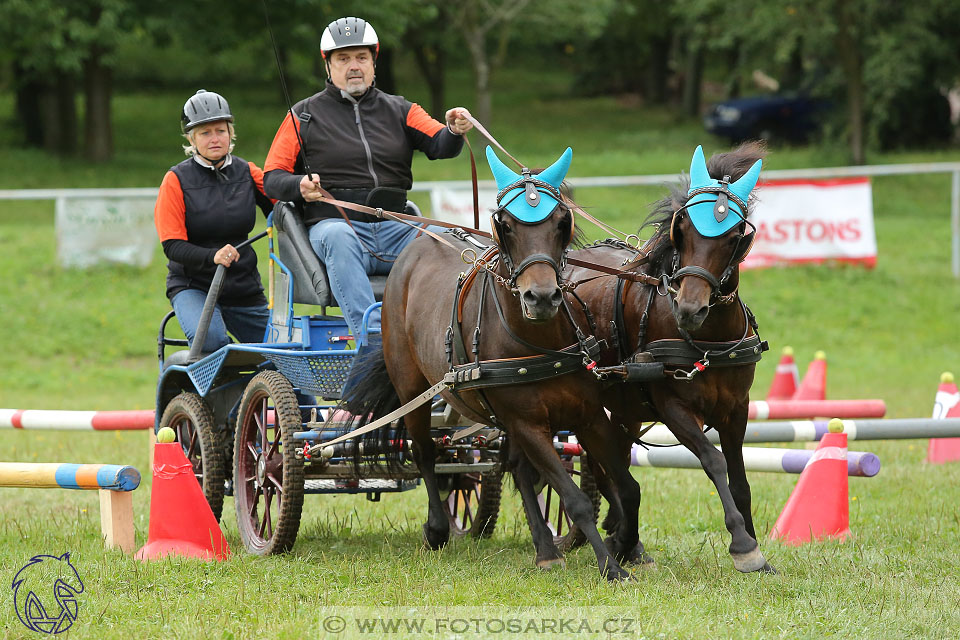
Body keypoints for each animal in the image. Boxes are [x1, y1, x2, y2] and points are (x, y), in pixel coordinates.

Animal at [342, 148, 640, 584]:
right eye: (506, 225)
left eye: (561, 222)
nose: (541, 297)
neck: (539, 340)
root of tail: (416, 246)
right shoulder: (527, 423)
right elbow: (576, 500)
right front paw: (611, 565)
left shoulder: (587, 415)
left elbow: (626, 485)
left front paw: (628, 546)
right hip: (412, 388)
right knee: (425, 452)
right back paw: (437, 529)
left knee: (515, 465)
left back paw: (545, 548)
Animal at [568, 144, 776, 576]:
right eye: (683, 230)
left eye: (734, 237)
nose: (690, 309)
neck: (708, 338)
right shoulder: (673, 407)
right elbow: (713, 462)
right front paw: (743, 544)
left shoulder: (737, 408)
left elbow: (740, 478)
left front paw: (756, 547)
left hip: (624, 408)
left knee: (613, 465)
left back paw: (625, 537)